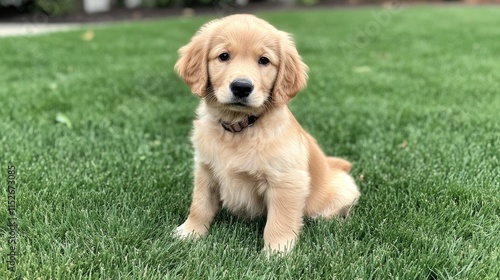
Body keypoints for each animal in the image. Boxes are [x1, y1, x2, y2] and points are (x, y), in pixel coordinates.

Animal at [175, 14, 360, 255]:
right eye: (224, 56)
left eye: (264, 60)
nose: (241, 87)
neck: (239, 127)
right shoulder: (205, 169)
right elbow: (200, 204)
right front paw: (189, 232)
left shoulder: (287, 180)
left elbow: (279, 220)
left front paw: (276, 252)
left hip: (340, 191)